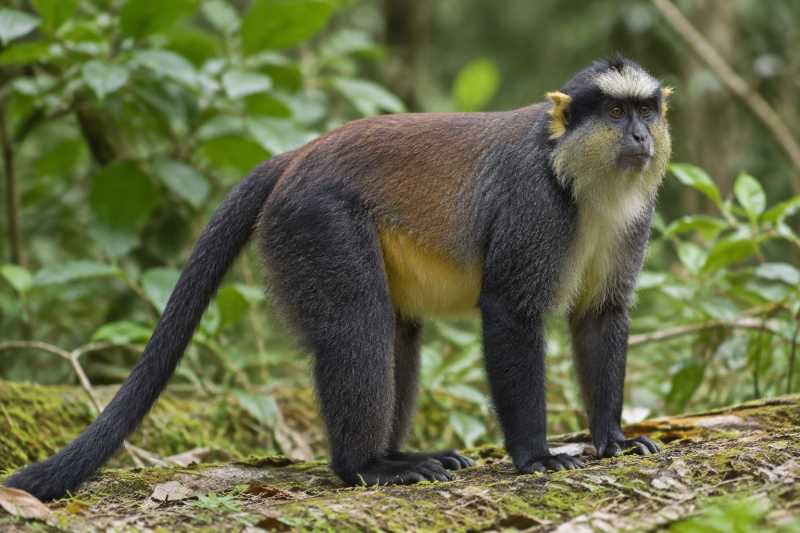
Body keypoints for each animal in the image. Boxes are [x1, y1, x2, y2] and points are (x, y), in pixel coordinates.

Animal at [5, 56, 670, 500]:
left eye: (645, 110)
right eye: (614, 112)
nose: (640, 136)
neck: (579, 179)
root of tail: (298, 155)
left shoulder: (632, 222)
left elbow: (601, 316)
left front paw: (612, 437)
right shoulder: (535, 207)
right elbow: (510, 310)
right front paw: (536, 455)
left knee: (397, 333)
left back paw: (392, 454)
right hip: (315, 224)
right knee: (358, 324)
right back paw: (364, 466)